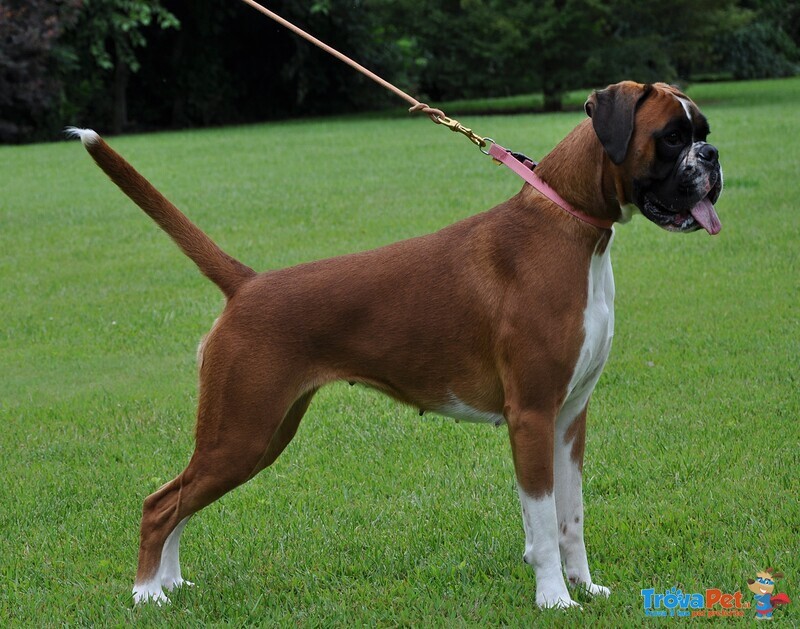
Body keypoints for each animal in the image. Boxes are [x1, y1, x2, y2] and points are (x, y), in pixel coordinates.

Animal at [65, 79, 720, 608]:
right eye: (671, 137)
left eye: (703, 134)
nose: (713, 156)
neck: (571, 224)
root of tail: (248, 283)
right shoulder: (531, 416)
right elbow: (539, 524)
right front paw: (555, 600)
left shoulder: (569, 419)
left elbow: (570, 519)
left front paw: (586, 588)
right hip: (241, 434)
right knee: (159, 505)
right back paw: (147, 594)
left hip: (258, 436)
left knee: (180, 502)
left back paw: (171, 583)